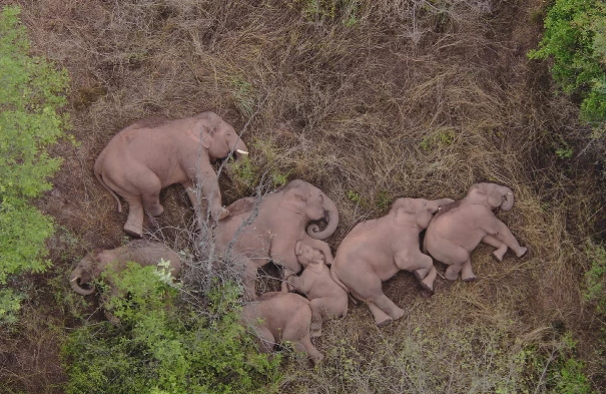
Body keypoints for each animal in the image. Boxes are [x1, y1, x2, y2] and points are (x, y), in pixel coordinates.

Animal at [94, 112, 249, 239]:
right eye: (228, 134)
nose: (227, 164)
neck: (194, 119)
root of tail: (99, 160)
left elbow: (192, 187)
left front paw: (201, 227)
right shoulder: (191, 150)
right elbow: (206, 176)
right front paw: (223, 214)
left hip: (118, 179)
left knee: (133, 201)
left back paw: (133, 233)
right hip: (128, 171)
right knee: (152, 185)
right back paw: (158, 212)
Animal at [330, 196, 454, 326]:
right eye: (424, 203)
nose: (451, 201)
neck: (395, 214)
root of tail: (333, 267)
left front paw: (423, 281)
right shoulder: (403, 239)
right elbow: (408, 261)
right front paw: (420, 276)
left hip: (351, 281)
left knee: (366, 298)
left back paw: (384, 321)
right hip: (358, 274)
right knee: (375, 292)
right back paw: (399, 315)